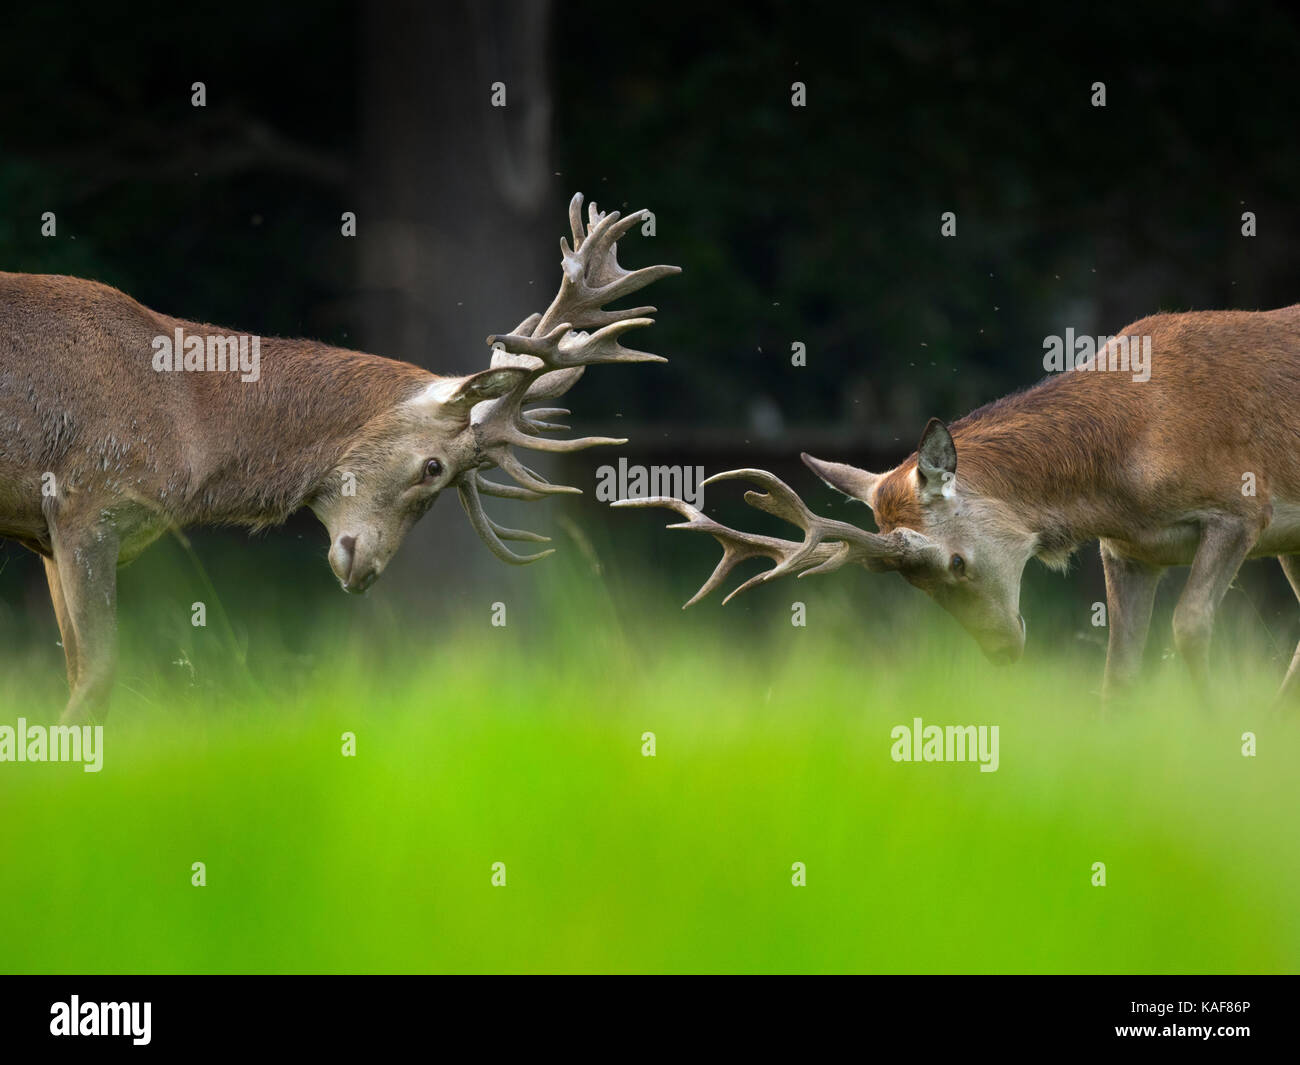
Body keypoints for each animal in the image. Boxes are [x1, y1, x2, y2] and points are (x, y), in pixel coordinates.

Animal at [0, 194, 679, 724]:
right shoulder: (89, 503)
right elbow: (98, 677)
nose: (368, 570)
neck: (186, 424)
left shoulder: (49, 535)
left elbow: (77, 671)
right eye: (434, 467)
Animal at [617, 304, 1300, 703]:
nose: (1001, 652)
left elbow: (1191, 628)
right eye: (906, 582)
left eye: (955, 562)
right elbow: (1120, 671)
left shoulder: (1243, 509)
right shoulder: (1127, 549)